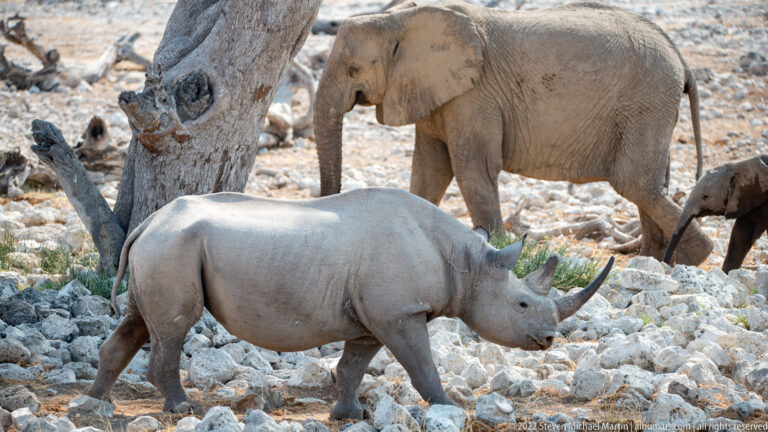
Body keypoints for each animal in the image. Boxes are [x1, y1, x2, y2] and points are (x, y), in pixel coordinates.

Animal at [87, 187, 613, 418]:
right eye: (522, 305)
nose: (549, 339)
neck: (469, 263)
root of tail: (148, 222)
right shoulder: (400, 313)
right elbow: (422, 364)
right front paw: (449, 408)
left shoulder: (375, 316)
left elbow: (353, 365)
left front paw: (350, 415)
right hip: (174, 248)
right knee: (175, 326)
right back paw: (183, 410)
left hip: (166, 247)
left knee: (137, 322)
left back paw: (96, 404)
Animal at [314, 1, 713, 265]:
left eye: (352, 70)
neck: (397, 19)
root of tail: (681, 60)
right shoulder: (435, 92)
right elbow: (429, 172)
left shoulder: (475, 94)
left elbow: (472, 169)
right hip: (651, 106)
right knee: (650, 184)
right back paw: (653, 259)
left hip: (646, 102)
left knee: (635, 183)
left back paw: (691, 257)